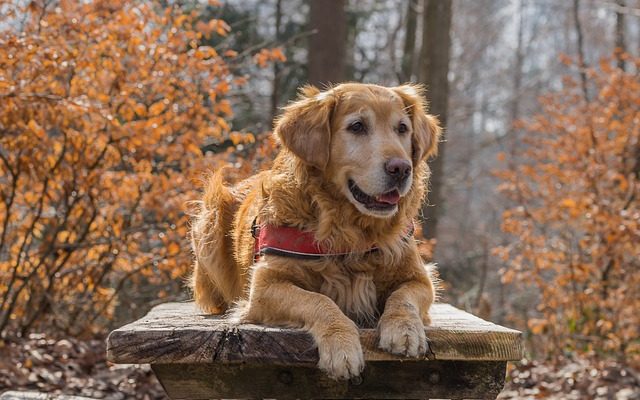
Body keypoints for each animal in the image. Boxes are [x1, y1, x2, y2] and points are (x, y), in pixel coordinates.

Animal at [190, 83, 440, 380]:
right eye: (357, 126)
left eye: (402, 128)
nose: (401, 169)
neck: (350, 230)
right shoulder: (264, 286)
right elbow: (319, 301)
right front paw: (341, 345)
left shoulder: (419, 278)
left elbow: (403, 298)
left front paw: (405, 329)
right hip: (210, 217)